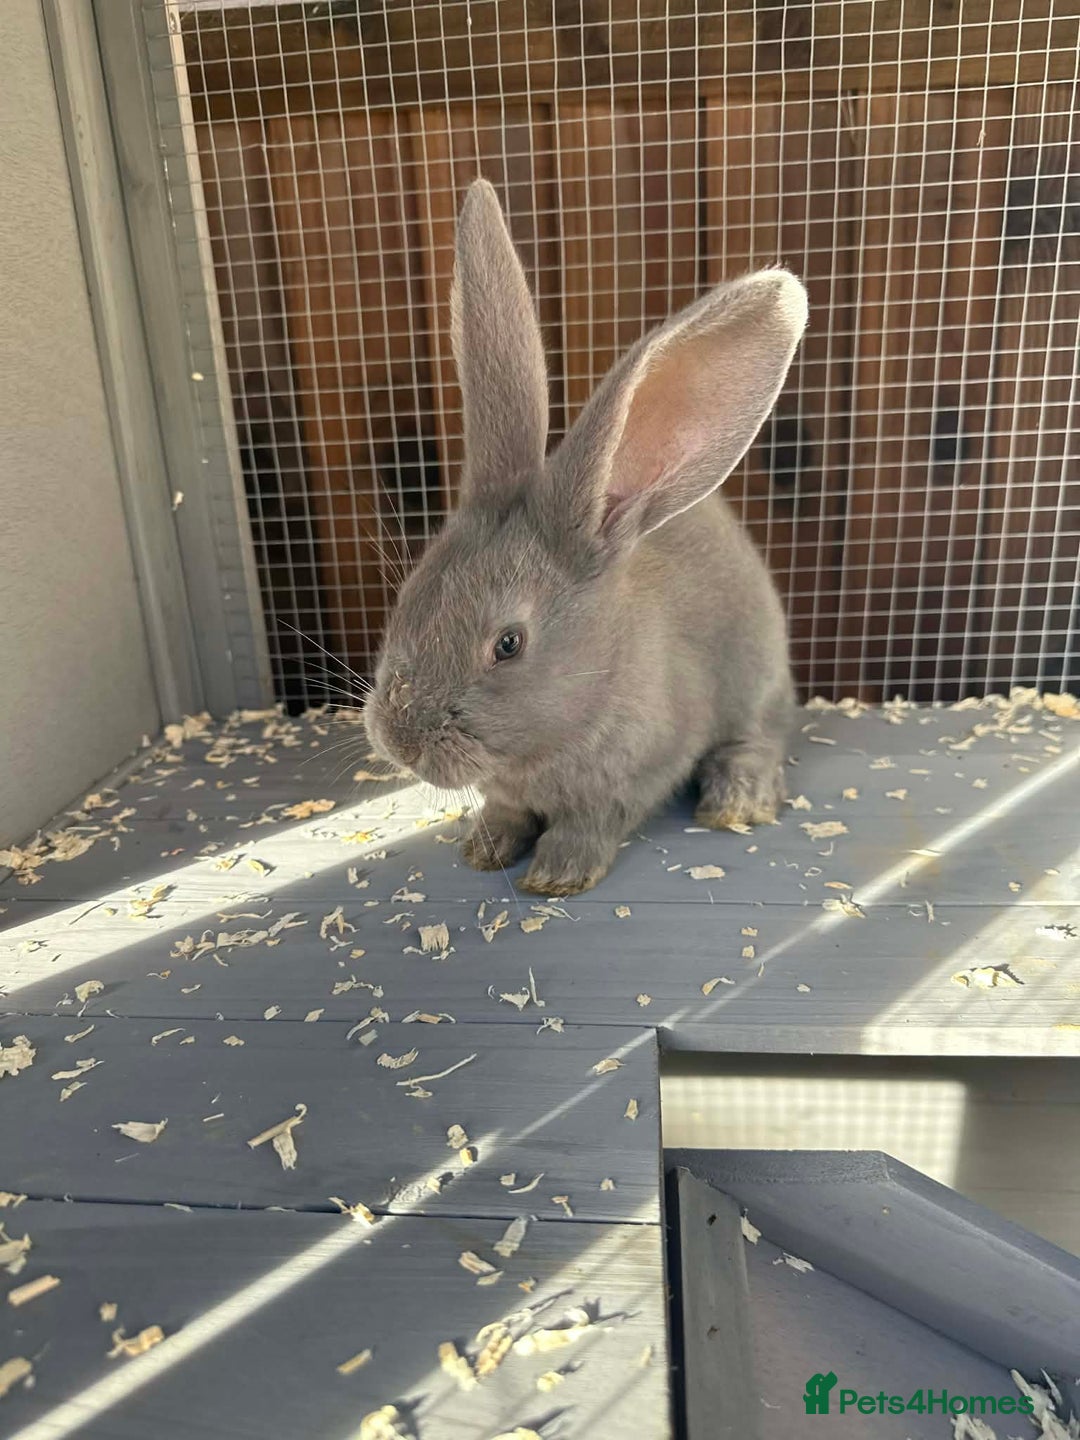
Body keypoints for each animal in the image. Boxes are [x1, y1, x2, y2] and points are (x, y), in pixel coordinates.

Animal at [364, 178, 807, 896]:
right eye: (408, 597)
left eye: (508, 644)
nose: (399, 741)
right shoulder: (509, 791)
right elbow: (504, 811)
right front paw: (484, 848)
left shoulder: (636, 773)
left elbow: (592, 822)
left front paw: (556, 875)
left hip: (759, 678)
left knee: (759, 738)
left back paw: (735, 800)